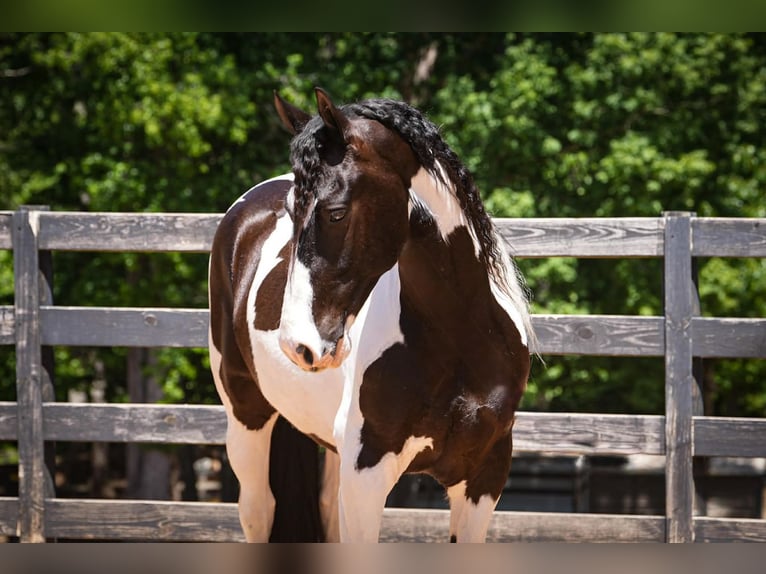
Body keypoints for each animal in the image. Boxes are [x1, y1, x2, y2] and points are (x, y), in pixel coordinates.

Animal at [208, 88, 532, 542]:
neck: (461, 339)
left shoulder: (484, 476)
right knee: (258, 510)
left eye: (336, 212)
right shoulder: (366, 473)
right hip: (245, 417)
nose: (297, 345)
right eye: (291, 212)